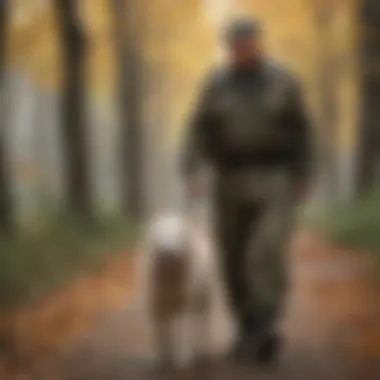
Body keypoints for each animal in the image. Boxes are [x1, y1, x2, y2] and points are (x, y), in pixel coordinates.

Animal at [139, 211, 217, 368]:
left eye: (180, 236)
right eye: (157, 236)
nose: (168, 255)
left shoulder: (186, 302)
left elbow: (183, 329)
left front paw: (182, 359)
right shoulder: (156, 303)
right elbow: (160, 330)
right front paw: (160, 359)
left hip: (203, 298)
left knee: (202, 322)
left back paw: (203, 350)